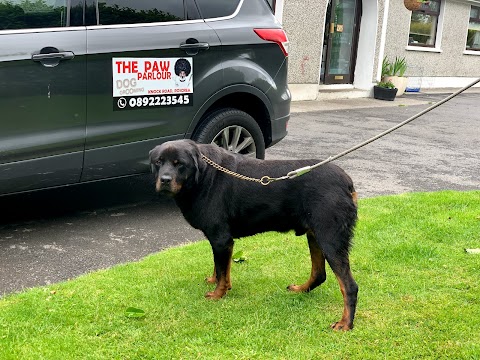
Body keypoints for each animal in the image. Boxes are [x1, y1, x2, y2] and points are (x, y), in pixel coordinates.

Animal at [148, 139, 358, 330]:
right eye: (158, 162)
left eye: (180, 164)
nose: (164, 179)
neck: (203, 176)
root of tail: (347, 183)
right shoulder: (222, 242)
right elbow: (221, 268)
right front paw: (218, 283)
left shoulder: (221, 238)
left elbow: (221, 269)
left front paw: (217, 294)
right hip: (315, 235)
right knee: (319, 273)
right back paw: (301, 289)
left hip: (330, 238)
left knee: (349, 286)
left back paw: (345, 324)